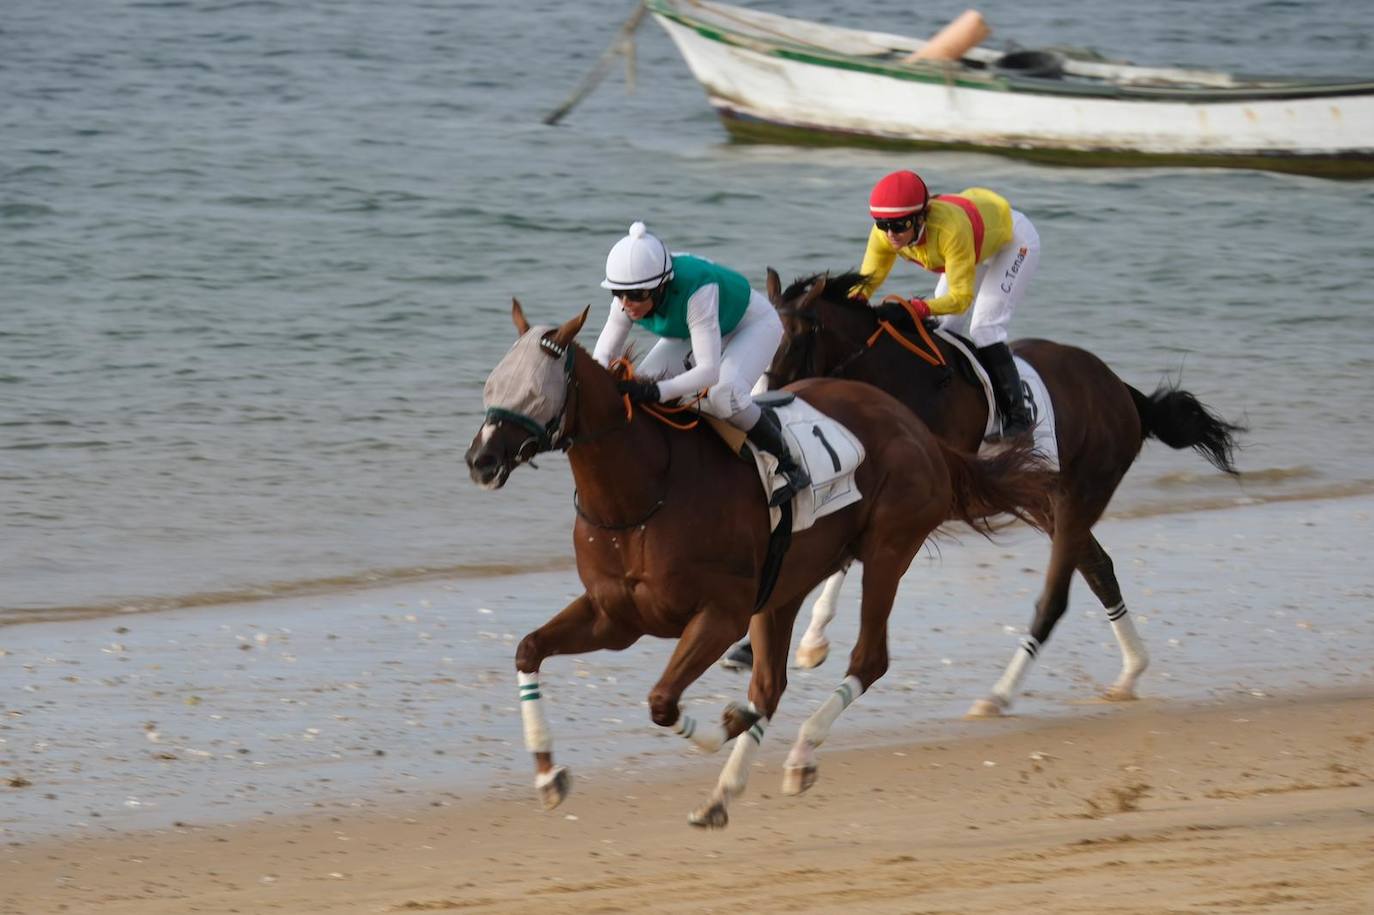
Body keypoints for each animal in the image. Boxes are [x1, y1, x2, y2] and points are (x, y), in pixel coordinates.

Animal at [464, 299, 1052, 828]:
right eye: (491, 385)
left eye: (535, 390)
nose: (480, 460)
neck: (642, 494)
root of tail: (914, 426)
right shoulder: (616, 617)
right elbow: (529, 649)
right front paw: (548, 774)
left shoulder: (720, 614)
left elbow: (662, 701)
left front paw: (724, 722)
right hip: (784, 585)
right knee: (771, 685)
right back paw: (720, 796)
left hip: (888, 548)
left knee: (867, 660)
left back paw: (798, 754)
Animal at [742, 269, 1244, 718]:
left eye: (793, 337)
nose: (760, 398)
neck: (902, 378)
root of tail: (1123, 392)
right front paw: (770, 642)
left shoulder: (925, 492)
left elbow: (847, 558)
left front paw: (809, 642)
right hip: (1046, 501)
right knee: (1100, 570)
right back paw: (1130, 671)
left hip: (1078, 497)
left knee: (1055, 597)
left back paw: (999, 695)